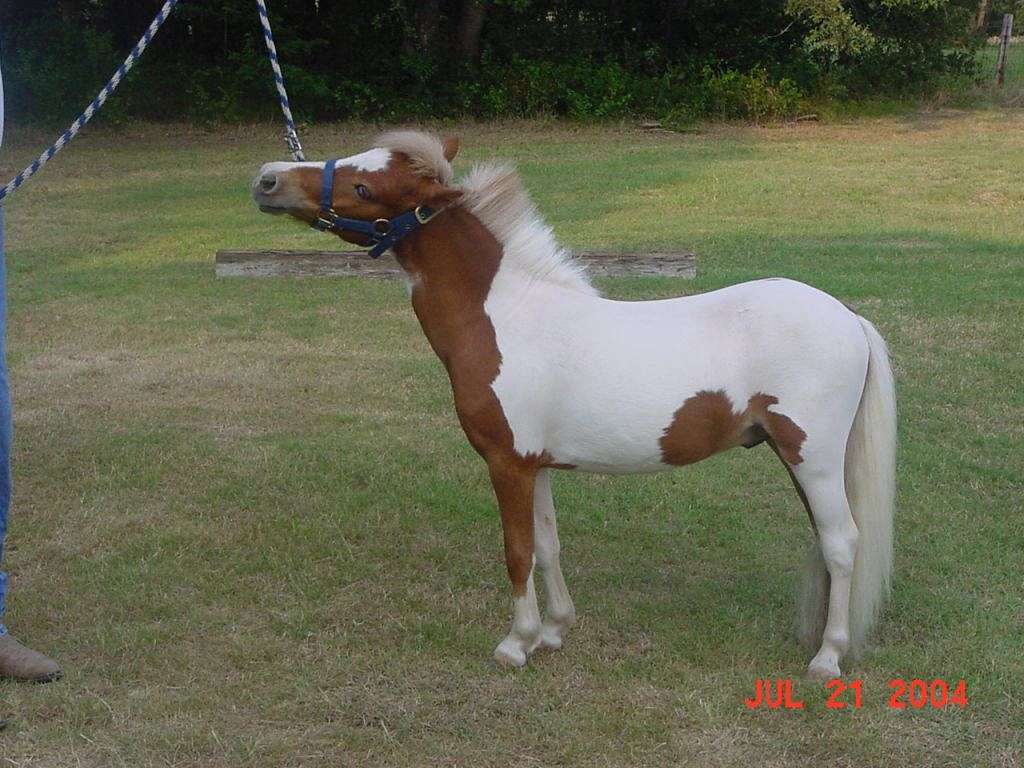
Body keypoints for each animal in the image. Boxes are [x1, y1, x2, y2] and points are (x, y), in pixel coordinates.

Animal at [250, 131, 896, 680]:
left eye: (366, 188)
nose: (267, 180)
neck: (504, 317)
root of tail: (848, 318)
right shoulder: (535, 464)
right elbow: (547, 544)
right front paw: (555, 631)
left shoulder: (506, 462)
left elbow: (516, 552)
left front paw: (516, 644)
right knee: (826, 540)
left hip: (811, 456)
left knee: (842, 542)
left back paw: (827, 658)